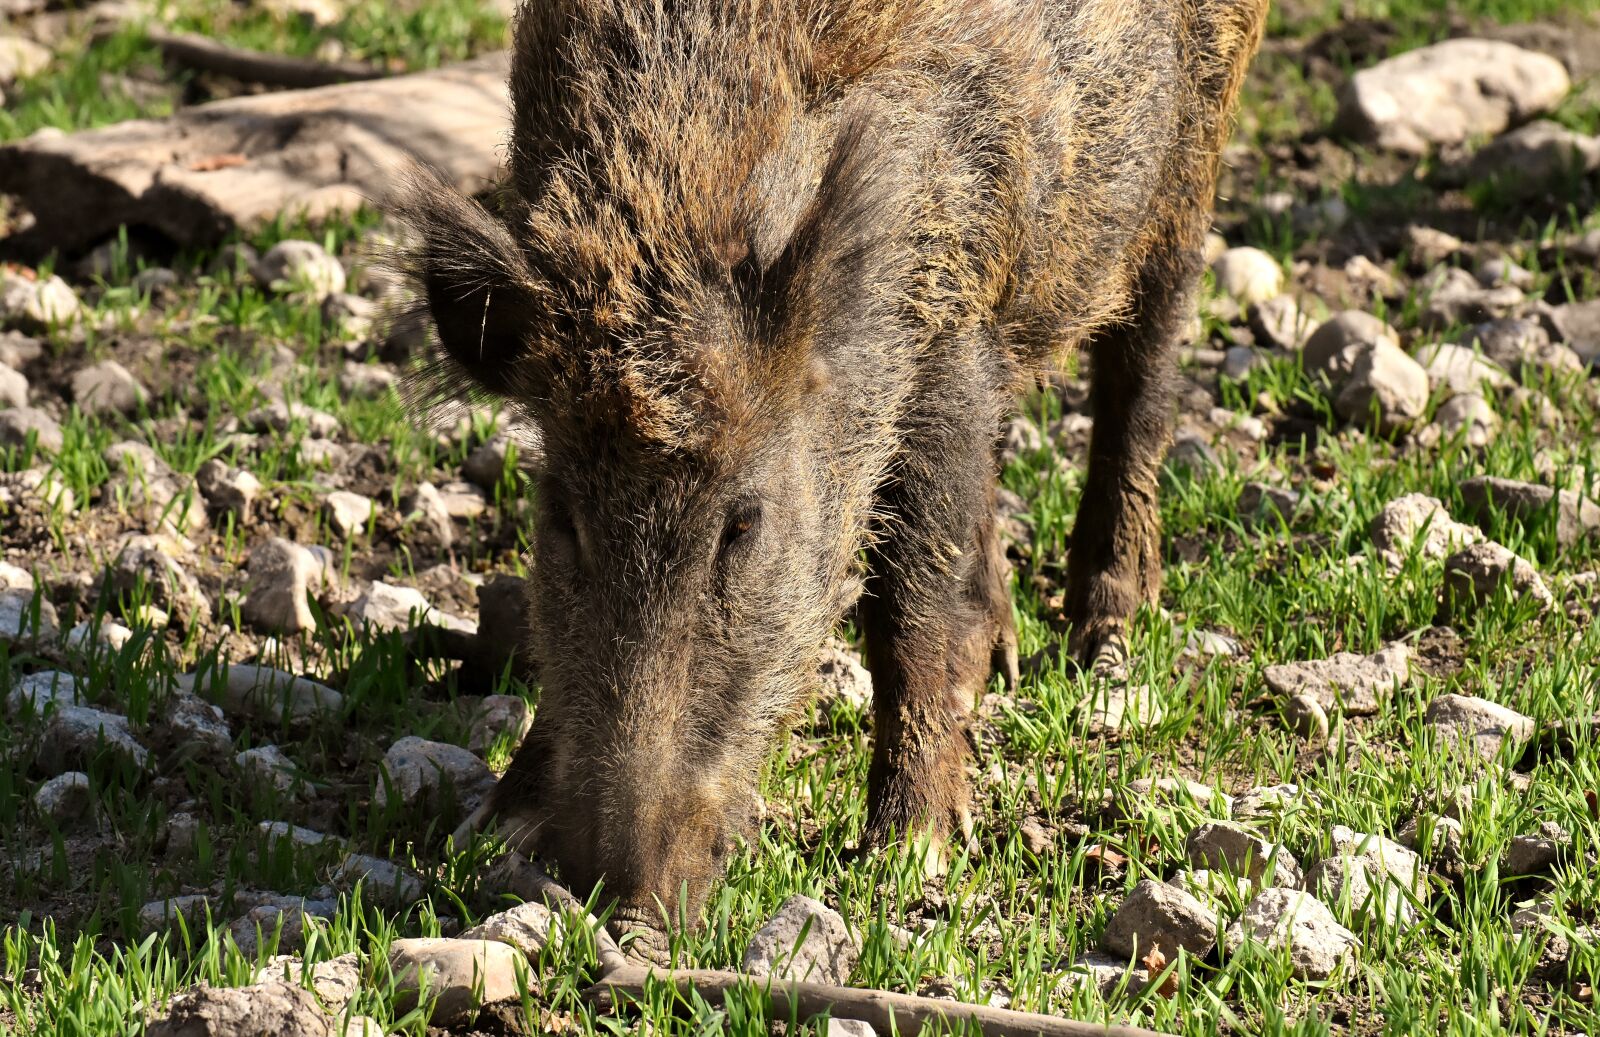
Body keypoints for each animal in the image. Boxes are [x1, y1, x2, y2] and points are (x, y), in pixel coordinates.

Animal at [396, 0, 1268, 954]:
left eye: (744, 522)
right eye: (564, 517)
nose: (618, 903)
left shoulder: (949, 331)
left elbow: (911, 603)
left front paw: (906, 854)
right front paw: (492, 826)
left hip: (1198, 138)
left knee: (1144, 356)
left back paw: (1101, 640)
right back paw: (1007, 660)